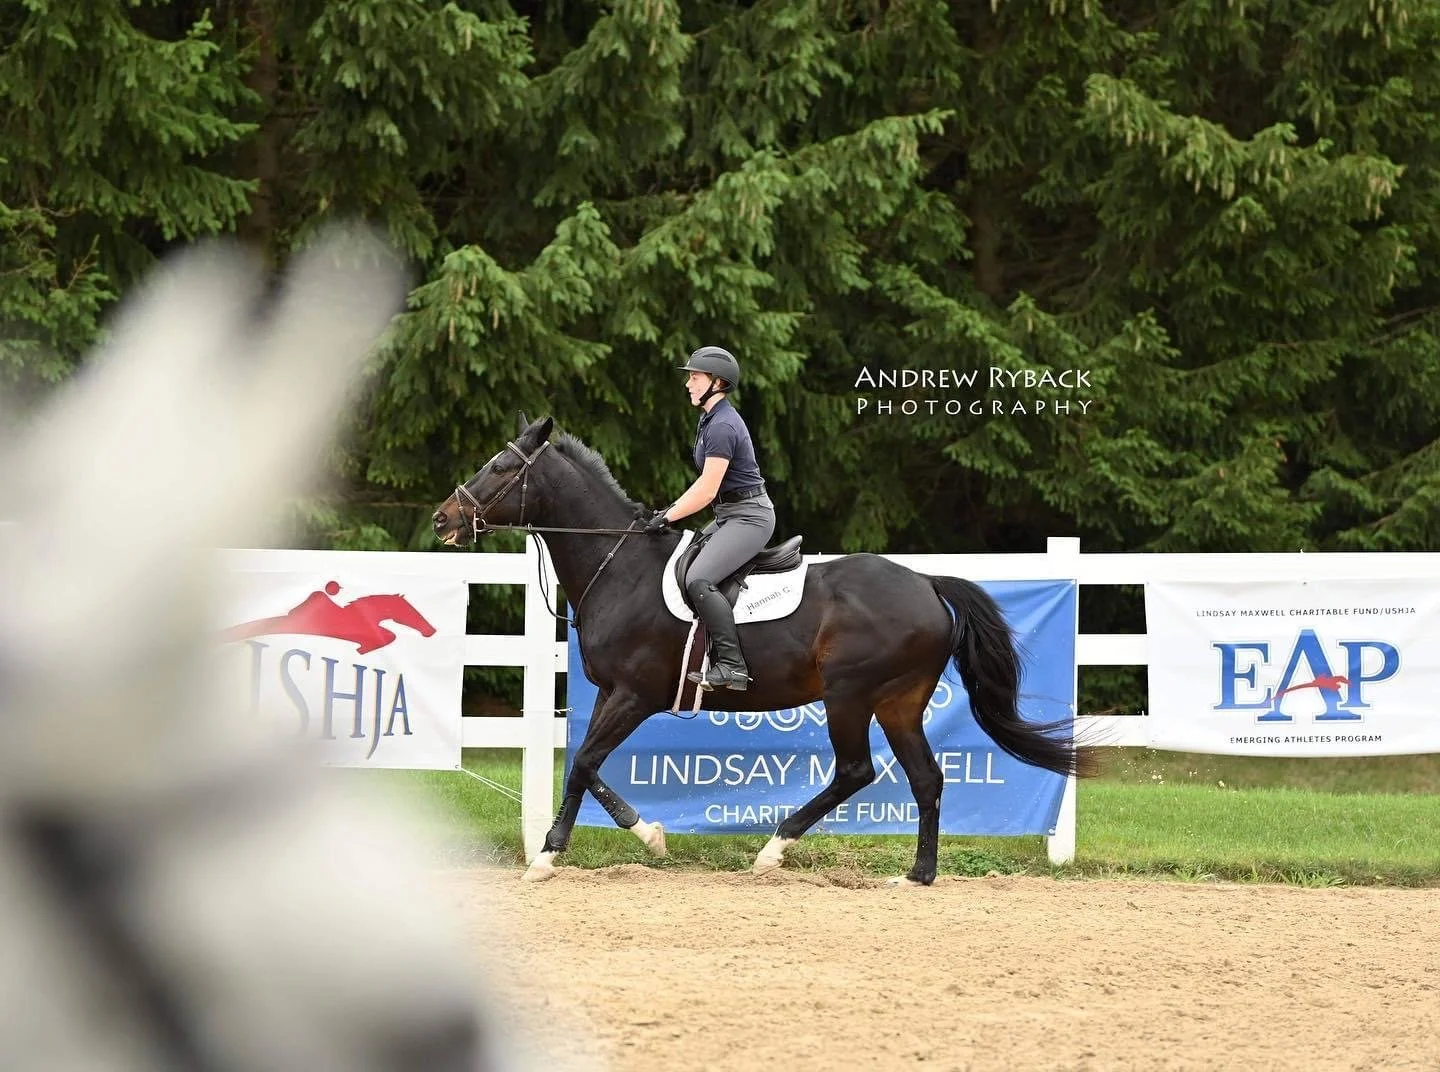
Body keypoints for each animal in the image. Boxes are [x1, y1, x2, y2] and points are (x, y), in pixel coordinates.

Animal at [432, 414, 1099, 886]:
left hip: (850, 695)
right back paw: (918, 875)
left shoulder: (634, 695)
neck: (619, 567)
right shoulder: (611, 693)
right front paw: (647, 834)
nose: (442, 520)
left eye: (499, 466)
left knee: (857, 771)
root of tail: (926, 583)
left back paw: (774, 850)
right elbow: (586, 767)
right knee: (926, 779)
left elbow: (582, 764)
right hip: (900, 703)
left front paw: (548, 857)